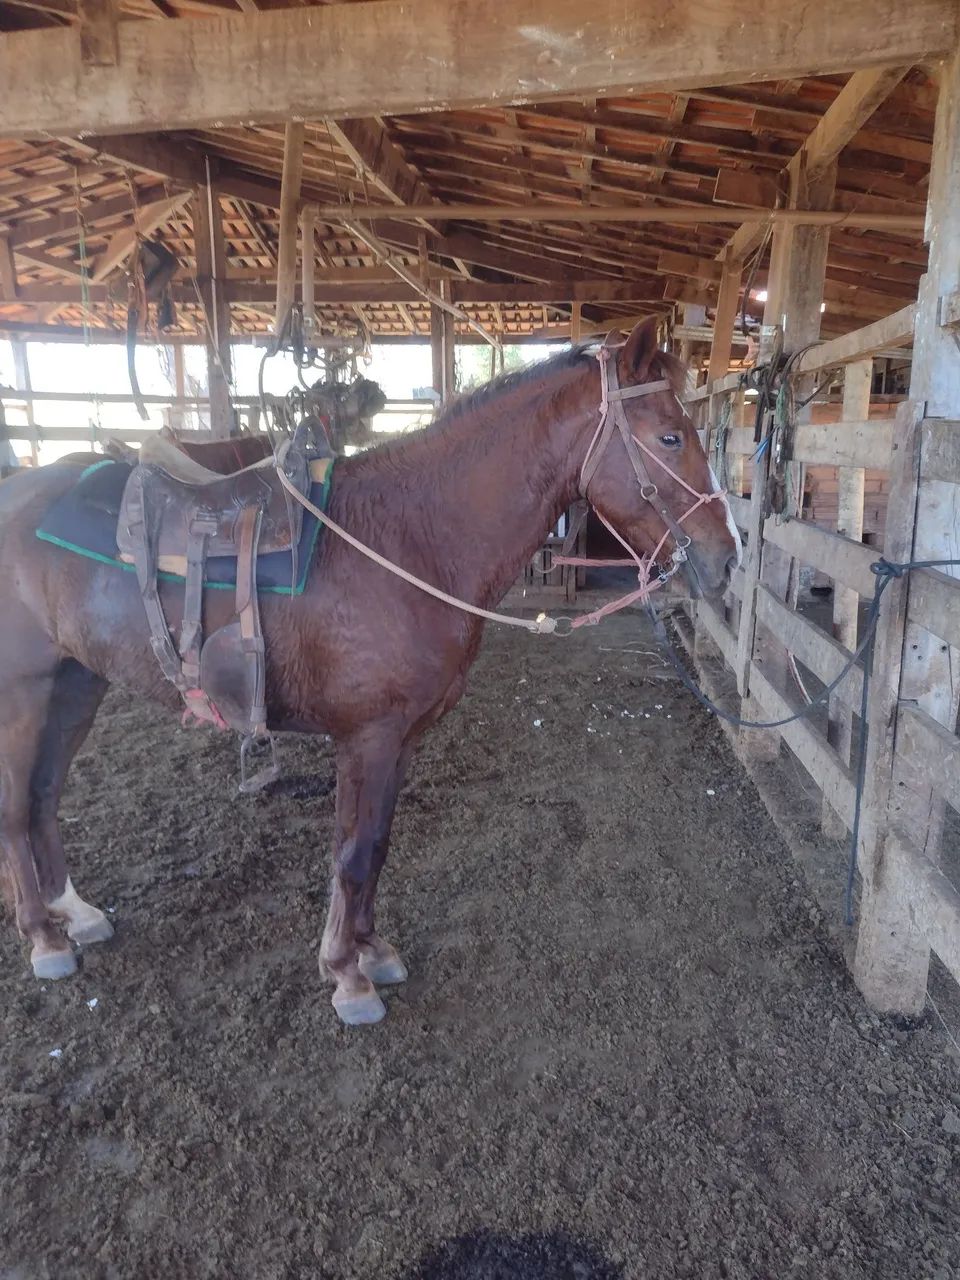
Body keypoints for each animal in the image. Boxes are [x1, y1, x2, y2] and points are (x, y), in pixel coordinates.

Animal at [0, 319, 739, 1026]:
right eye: (671, 436)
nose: (727, 558)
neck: (412, 538)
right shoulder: (368, 735)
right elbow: (352, 855)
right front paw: (346, 977)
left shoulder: (401, 737)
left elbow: (377, 846)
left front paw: (372, 951)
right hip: (27, 695)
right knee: (16, 806)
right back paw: (44, 937)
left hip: (77, 685)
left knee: (45, 796)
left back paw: (77, 913)